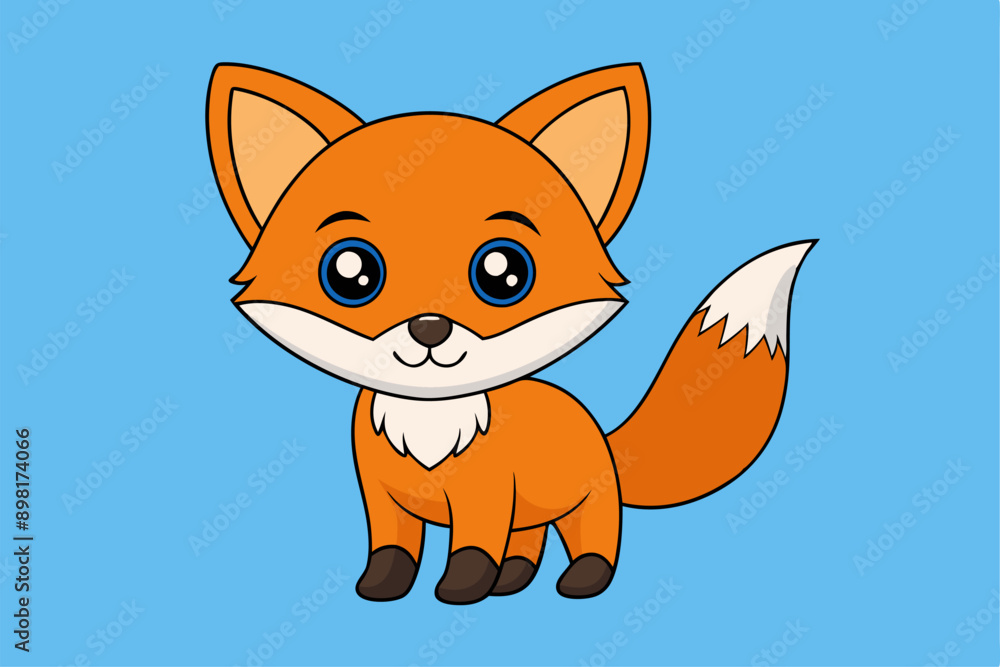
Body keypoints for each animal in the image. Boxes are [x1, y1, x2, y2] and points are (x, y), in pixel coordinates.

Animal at [205, 62, 815, 605]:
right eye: (349, 272)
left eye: (504, 273)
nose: (429, 328)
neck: (428, 421)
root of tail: (599, 429)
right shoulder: (382, 499)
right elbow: (391, 551)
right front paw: (383, 587)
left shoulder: (487, 496)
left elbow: (473, 549)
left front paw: (460, 590)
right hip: (534, 513)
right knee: (529, 544)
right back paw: (514, 581)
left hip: (587, 501)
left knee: (596, 538)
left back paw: (583, 580)